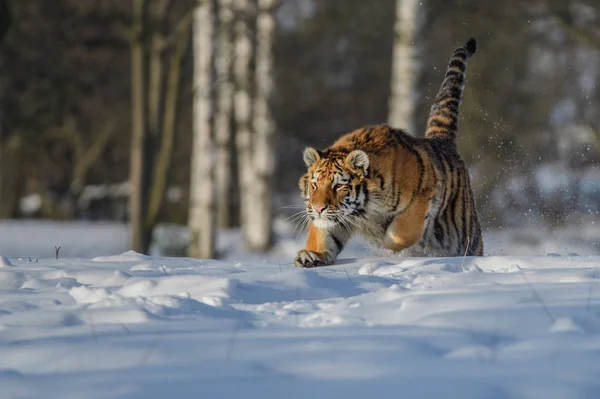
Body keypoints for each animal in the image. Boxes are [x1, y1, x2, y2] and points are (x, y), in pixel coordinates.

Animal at [294, 38, 482, 268]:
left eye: (338, 186)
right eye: (314, 184)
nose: (318, 208)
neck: (364, 210)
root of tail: (441, 140)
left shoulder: (421, 197)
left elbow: (401, 233)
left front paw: (387, 246)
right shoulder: (334, 218)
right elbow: (323, 233)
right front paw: (311, 255)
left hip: (466, 237)